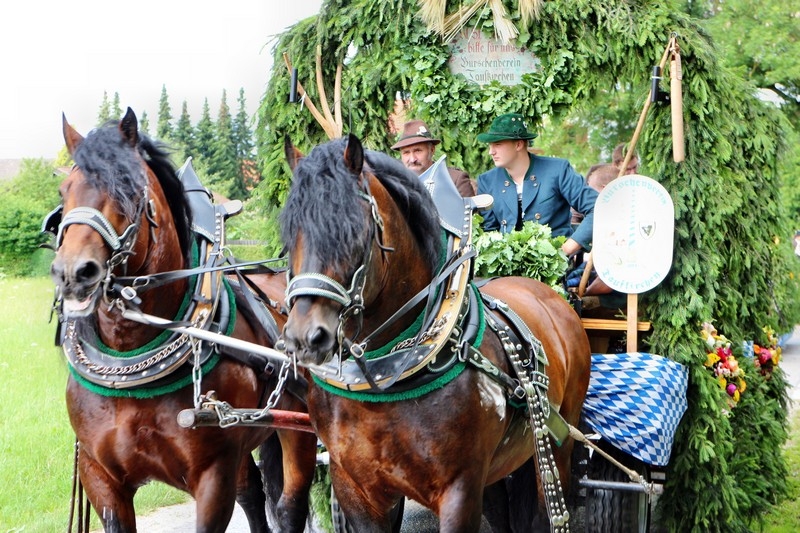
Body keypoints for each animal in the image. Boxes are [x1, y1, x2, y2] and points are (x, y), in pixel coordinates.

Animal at [49, 109, 316, 532]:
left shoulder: (213, 476)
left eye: (129, 187)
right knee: (253, 495)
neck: (131, 356)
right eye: (64, 191)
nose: (73, 272)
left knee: (291, 507)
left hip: (299, 427)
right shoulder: (100, 478)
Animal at [282, 135, 592, 528]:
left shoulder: (460, 489)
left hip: (558, 440)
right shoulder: (354, 487)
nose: (305, 337)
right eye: (290, 231)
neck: (385, 384)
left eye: (354, 229)